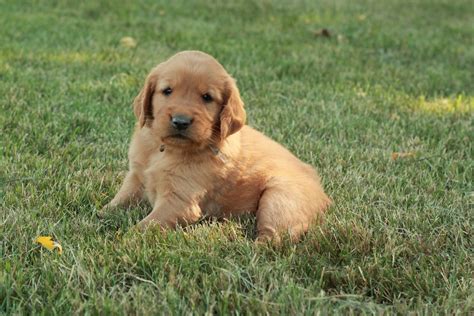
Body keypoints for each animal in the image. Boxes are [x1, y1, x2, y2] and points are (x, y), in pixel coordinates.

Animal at [101, 50, 330, 241]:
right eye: (167, 91)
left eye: (207, 97)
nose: (180, 121)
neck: (165, 149)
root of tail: (324, 194)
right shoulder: (136, 177)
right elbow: (117, 202)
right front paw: (101, 214)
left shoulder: (179, 200)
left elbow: (145, 226)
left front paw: (121, 240)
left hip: (280, 199)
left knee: (272, 237)